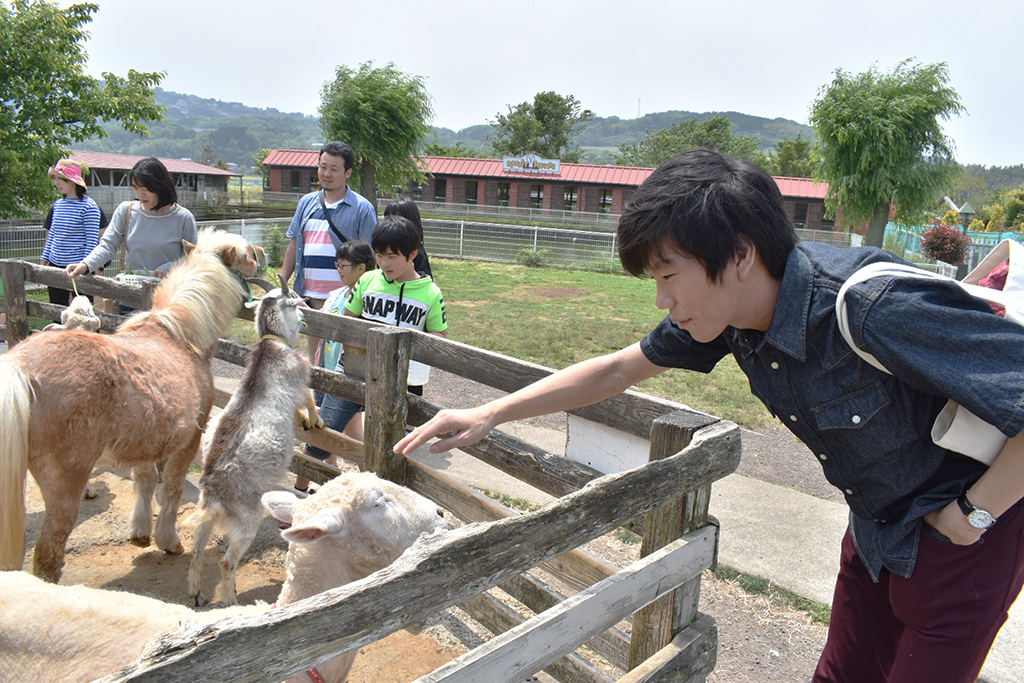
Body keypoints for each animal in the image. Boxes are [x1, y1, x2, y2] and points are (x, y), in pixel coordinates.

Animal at [0, 235, 247, 581]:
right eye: (246, 258)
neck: (181, 337)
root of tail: (20, 366)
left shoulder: (145, 441)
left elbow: (145, 481)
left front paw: (140, 533)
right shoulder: (188, 442)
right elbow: (171, 488)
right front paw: (168, 540)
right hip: (65, 487)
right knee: (48, 553)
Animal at [188, 274, 321, 606]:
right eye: (295, 300)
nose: (306, 319)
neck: (272, 347)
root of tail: (213, 492)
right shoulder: (300, 381)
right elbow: (309, 399)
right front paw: (315, 420)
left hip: (205, 516)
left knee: (196, 551)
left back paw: (197, 594)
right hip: (248, 516)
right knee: (227, 561)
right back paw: (230, 600)